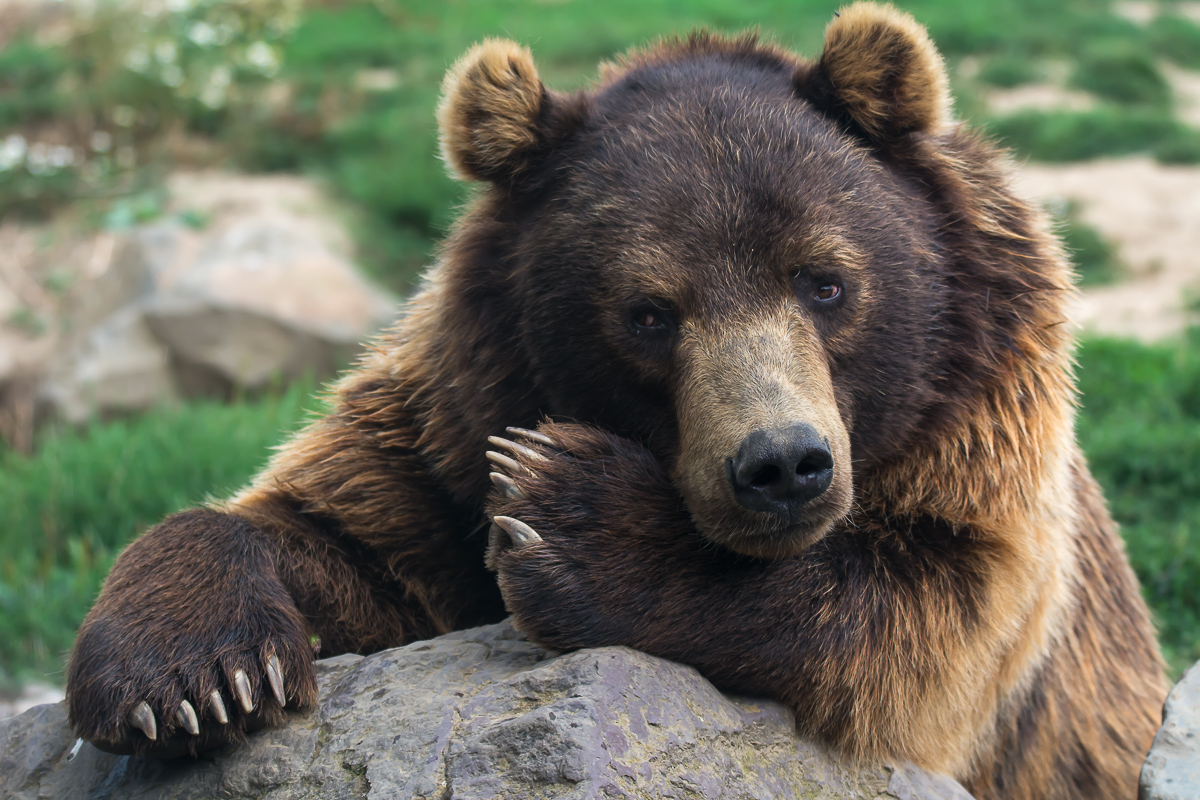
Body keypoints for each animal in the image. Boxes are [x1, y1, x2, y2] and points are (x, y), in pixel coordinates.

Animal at [65, 4, 1167, 798]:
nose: (782, 464)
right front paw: (191, 677)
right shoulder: (453, 416)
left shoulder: (985, 450)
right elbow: (352, 537)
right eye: (648, 312)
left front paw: (569, 511)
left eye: (825, 279)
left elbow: (920, 618)